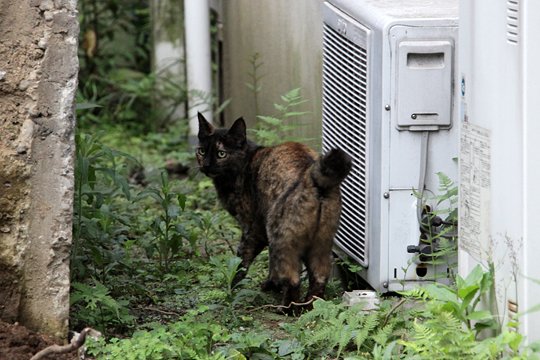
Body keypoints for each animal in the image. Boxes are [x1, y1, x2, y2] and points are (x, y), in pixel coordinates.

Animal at [196, 114, 352, 310]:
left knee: (293, 278)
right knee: (319, 276)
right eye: (202, 151)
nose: (206, 166)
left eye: (221, 154)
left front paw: (233, 287)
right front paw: (272, 285)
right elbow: (271, 265)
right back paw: (310, 307)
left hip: (282, 238)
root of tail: (314, 178)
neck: (245, 163)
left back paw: (287, 309)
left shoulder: (254, 229)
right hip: (321, 241)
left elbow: (242, 261)